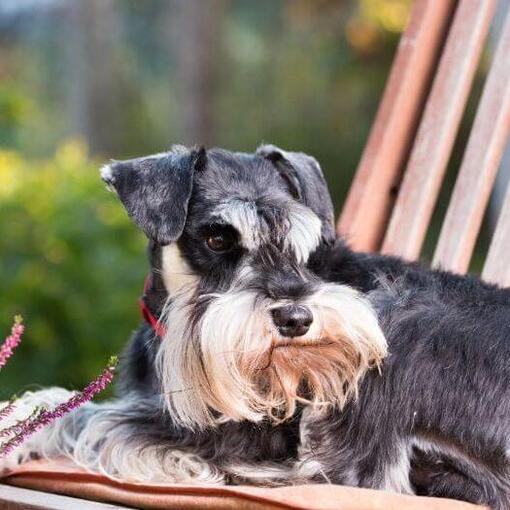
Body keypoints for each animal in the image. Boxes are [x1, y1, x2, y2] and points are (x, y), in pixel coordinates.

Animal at [5, 145, 510, 508]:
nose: (296, 318)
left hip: (401, 323)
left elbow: (95, 417)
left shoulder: (239, 432)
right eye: (217, 237)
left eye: (303, 240)